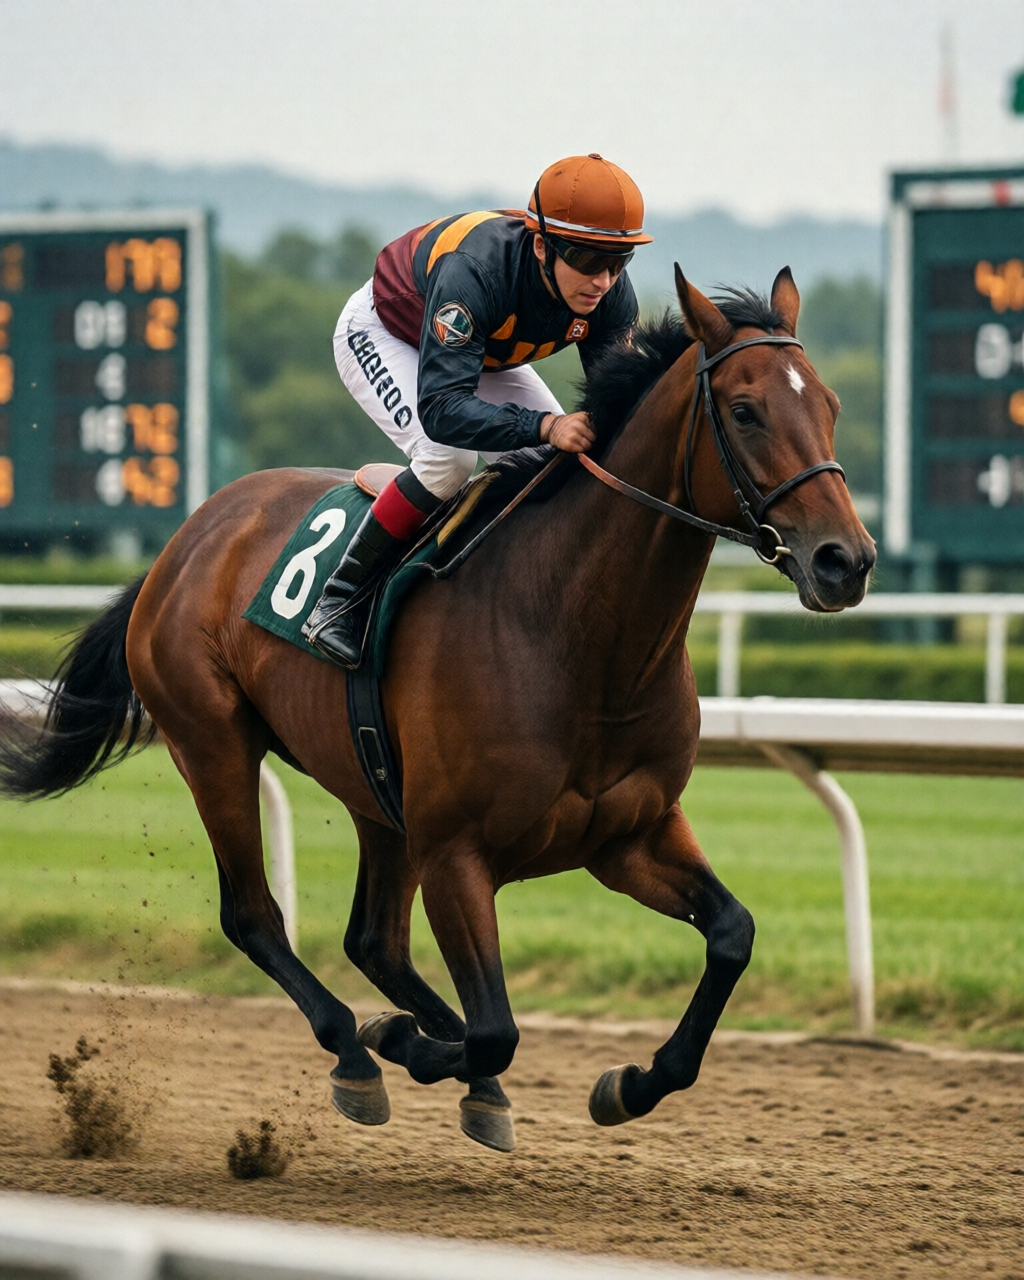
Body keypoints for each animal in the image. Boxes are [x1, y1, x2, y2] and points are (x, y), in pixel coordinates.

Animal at [0, 267, 875, 1153]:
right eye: (746, 410)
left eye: (831, 403)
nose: (847, 560)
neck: (577, 635)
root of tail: (184, 541)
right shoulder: (457, 853)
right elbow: (497, 1028)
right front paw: (406, 1044)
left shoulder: (630, 835)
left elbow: (731, 935)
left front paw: (628, 1083)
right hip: (212, 744)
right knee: (254, 916)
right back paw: (358, 1052)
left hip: (375, 792)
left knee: (374, 940)